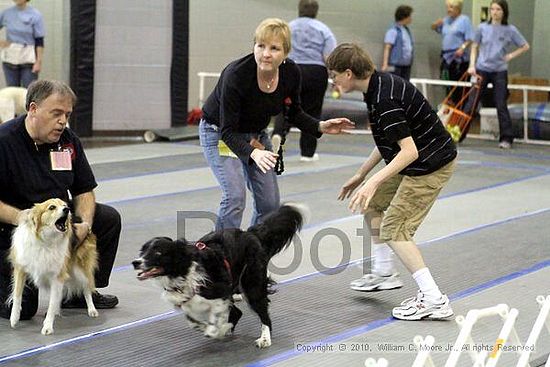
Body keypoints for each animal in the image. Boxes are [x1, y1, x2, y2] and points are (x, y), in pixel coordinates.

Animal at [8, 200, 99, 334]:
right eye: (52, 207)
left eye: (64, 205)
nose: (67, 209)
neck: (45, 239)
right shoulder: (21, 268)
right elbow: (17, 294)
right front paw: (14, 318)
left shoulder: (57, 277)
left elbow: (52, 303)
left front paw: (47, 326)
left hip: (80, 270)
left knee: (86, 288)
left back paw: (92, 309)